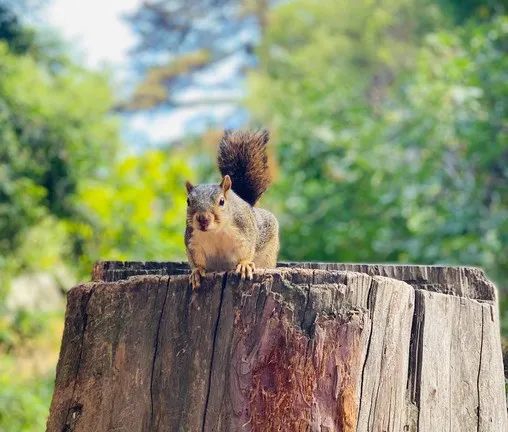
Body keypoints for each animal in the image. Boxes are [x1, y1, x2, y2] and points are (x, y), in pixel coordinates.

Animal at [185, 129, 280, 290]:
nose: (203, 219)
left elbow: (247, 250)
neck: (215, 232)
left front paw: (244, 265)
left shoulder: (244, 232)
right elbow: (196, 259)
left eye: (222, 201)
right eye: (188, 201)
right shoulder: (193, 241)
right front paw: (197, 271)